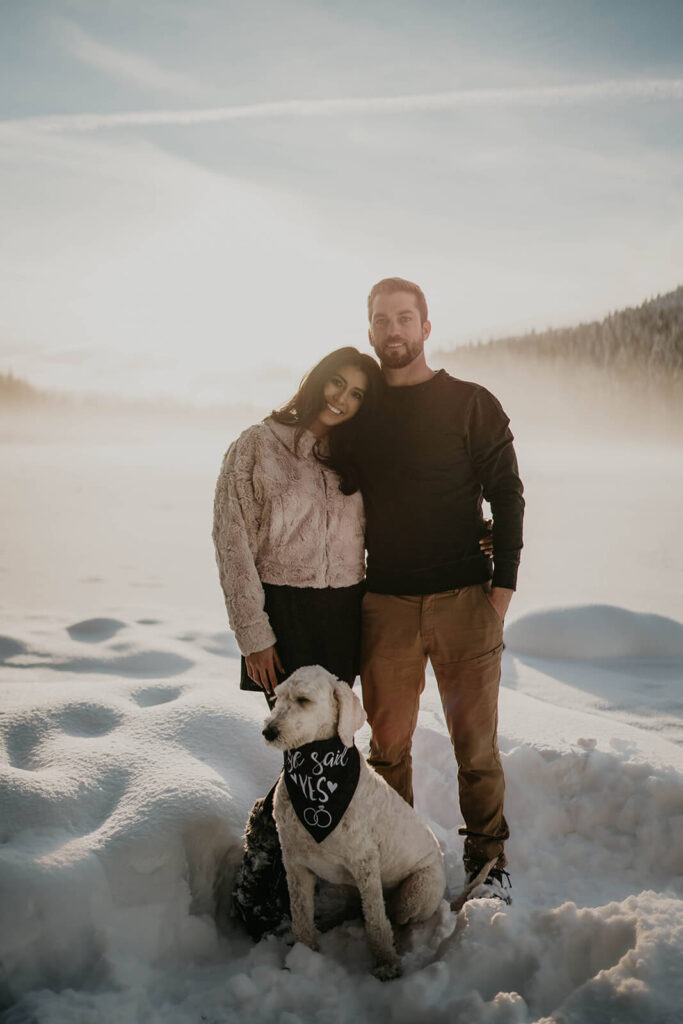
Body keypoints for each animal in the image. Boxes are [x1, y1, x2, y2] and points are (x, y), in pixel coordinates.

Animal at [260, 667, 444, 978]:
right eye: (276, 698)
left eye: (303, 700)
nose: (268, 731)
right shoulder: (295, 861)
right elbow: (300, 913)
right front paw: (302, 954)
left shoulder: (365, 863)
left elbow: (376, 919)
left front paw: (386, 963)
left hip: (418, 890)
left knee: (395, 916)